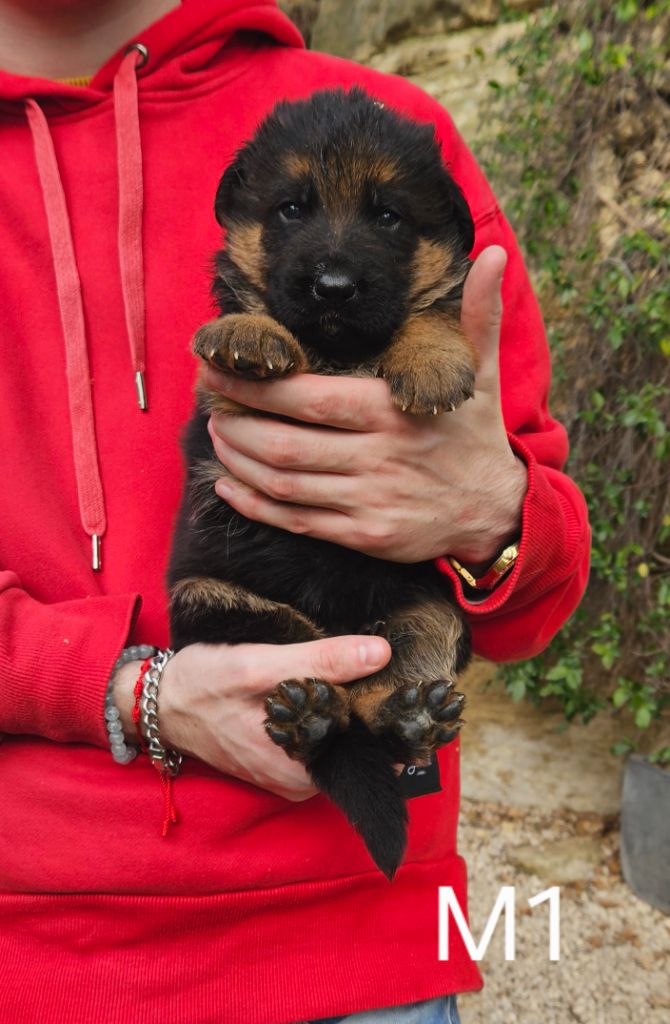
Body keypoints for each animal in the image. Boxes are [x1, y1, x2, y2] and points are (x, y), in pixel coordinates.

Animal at [168, 88, 477, 880]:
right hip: (214, 603)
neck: (340, 350)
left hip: (431, 613)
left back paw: (407, 718)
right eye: (290, 209)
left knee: (384, 694)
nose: (332, 286)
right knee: (315, 667)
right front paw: (246, 332)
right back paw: (312, 718)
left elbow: (434, 309)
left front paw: (432, 360)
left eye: (388, 216)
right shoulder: (227, 411)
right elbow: (246, 317)